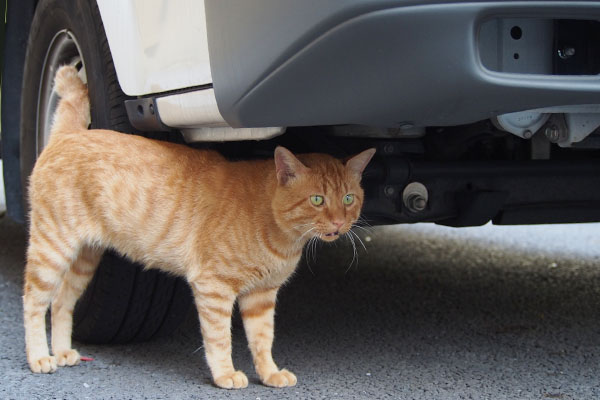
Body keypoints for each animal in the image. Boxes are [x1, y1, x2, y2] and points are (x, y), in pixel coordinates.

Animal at [22, 65, 376, 388]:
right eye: (317, 200)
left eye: (348, 198)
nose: (339, 222)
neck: (280, 235)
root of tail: (71, 133)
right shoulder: (214, 286)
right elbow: (219, 338)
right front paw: (225, 374)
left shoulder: (261, 297)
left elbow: (263, 340)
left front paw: (269, 373)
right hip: (52, 250)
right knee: (34, 301)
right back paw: (39, 356)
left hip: (84, 258)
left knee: (61, 300)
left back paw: (63, 351)